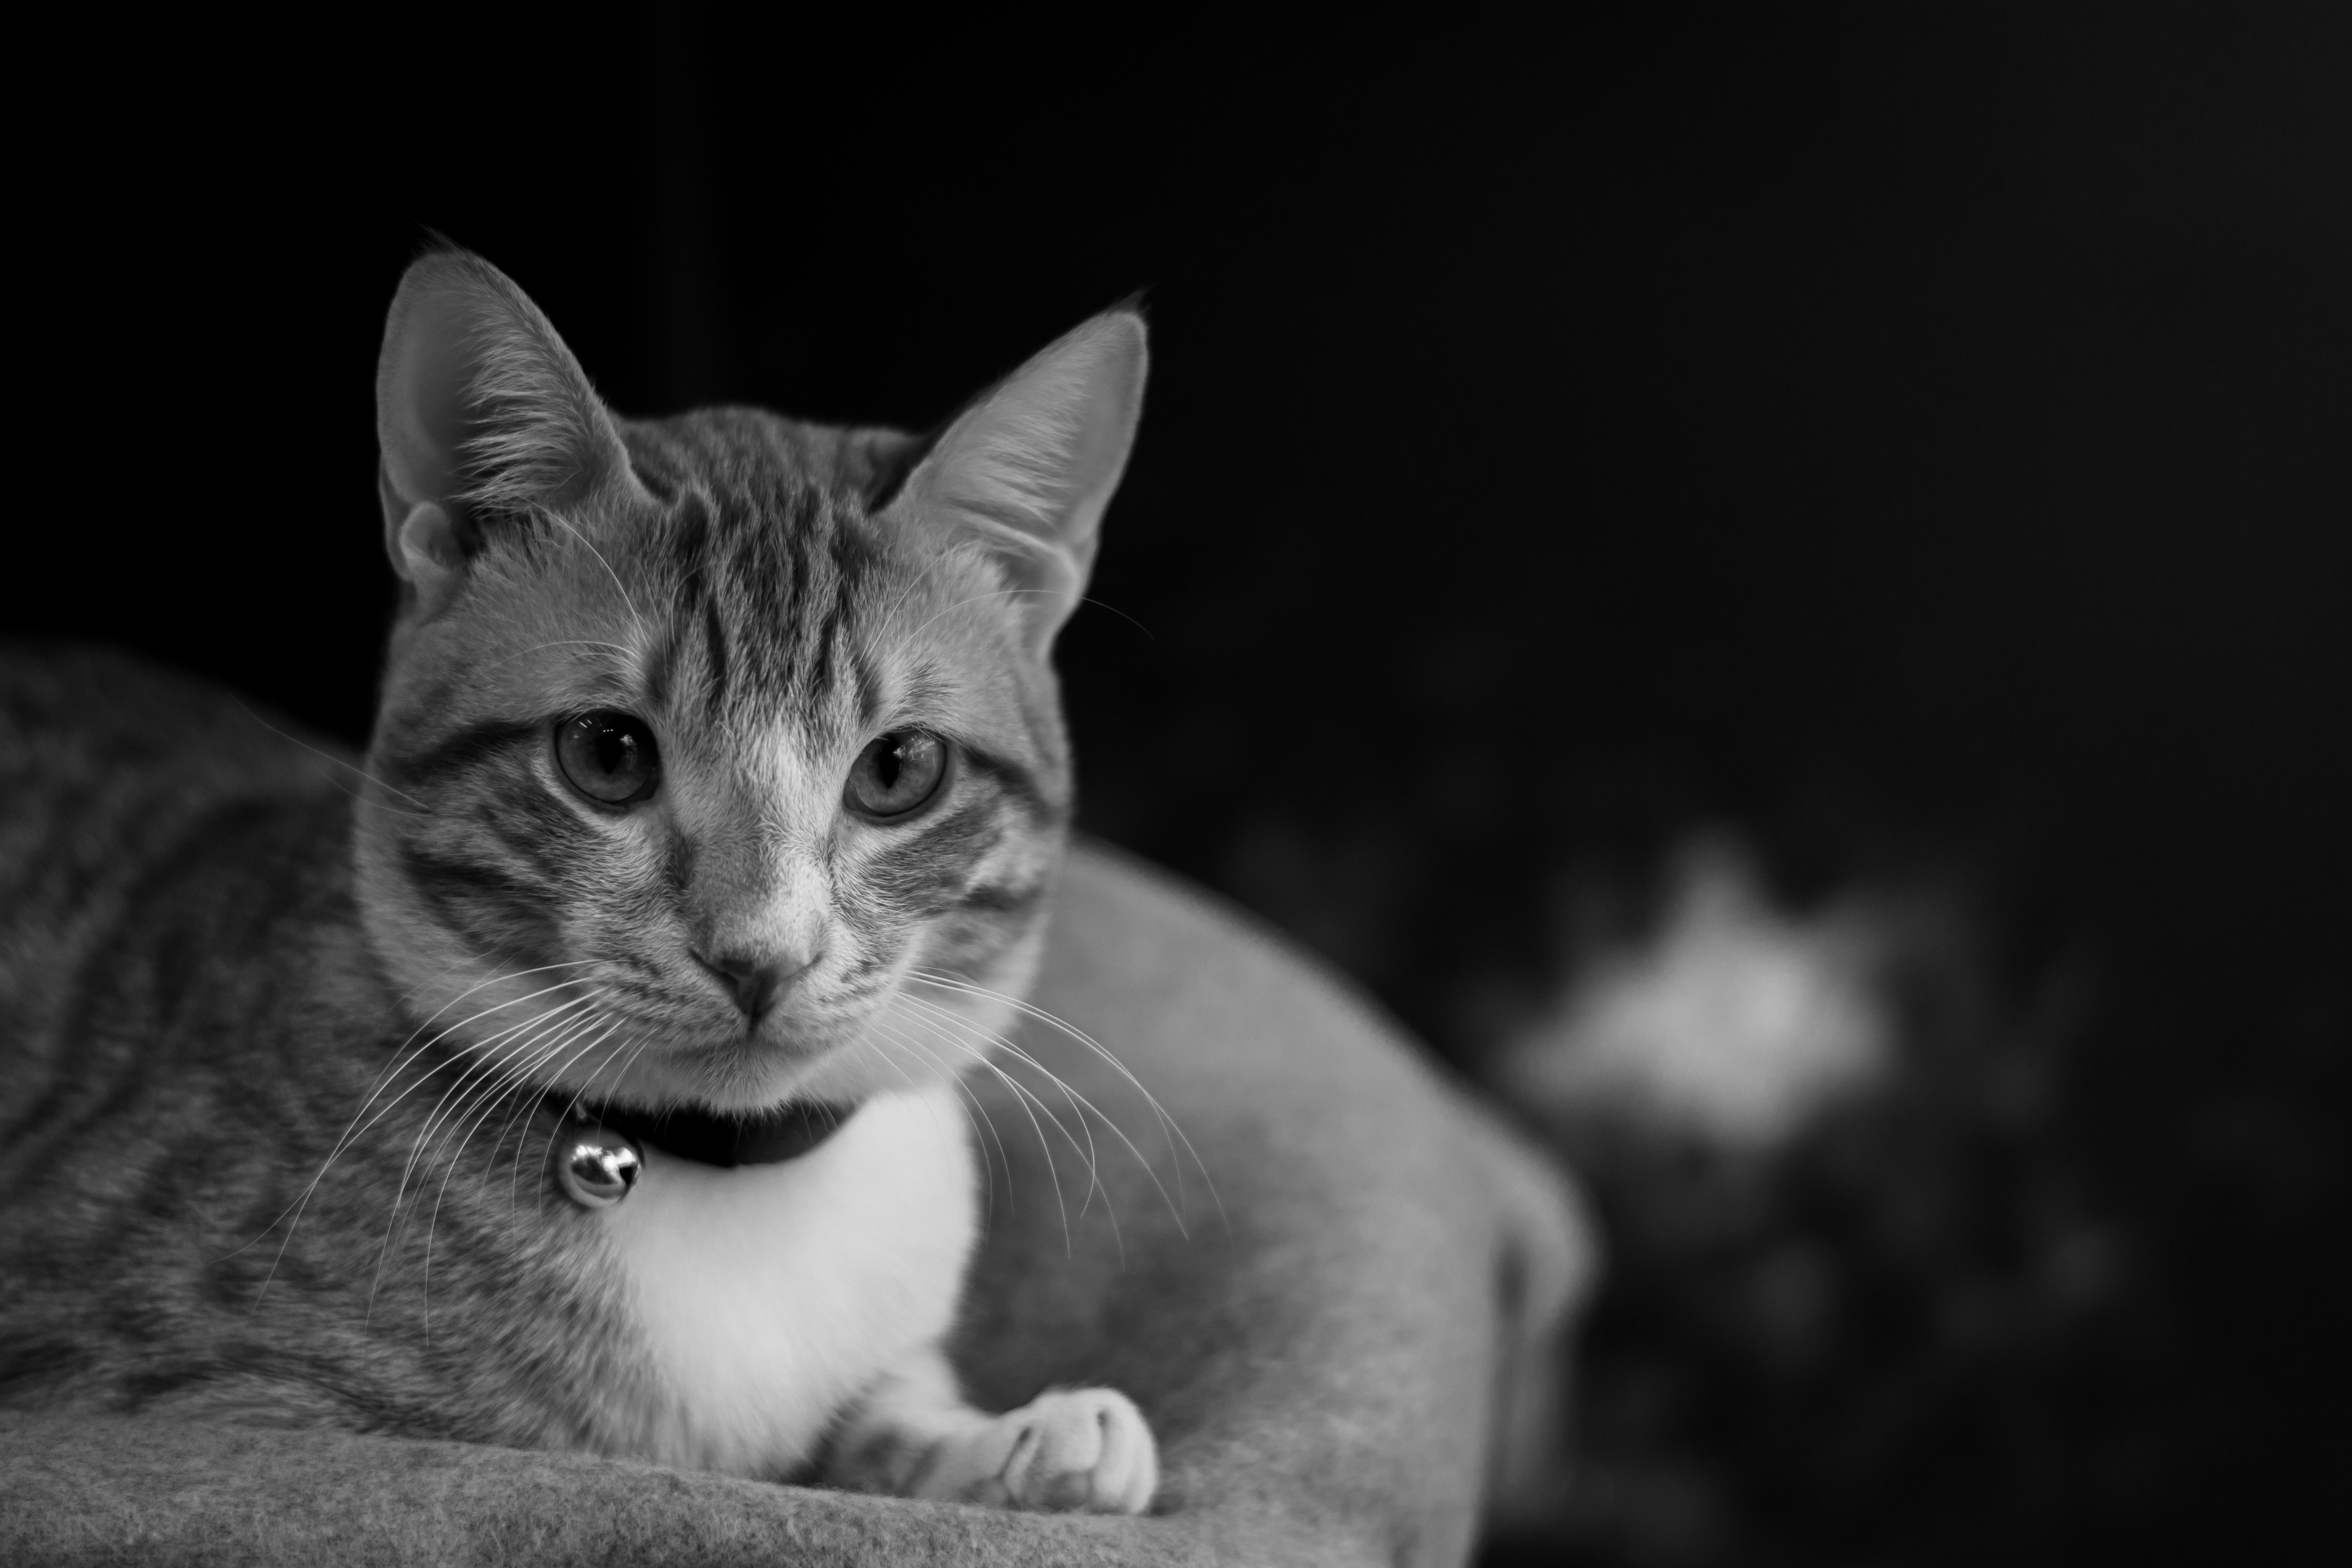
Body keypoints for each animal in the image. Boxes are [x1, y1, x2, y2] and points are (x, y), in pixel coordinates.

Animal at [0, 251, 1157, 1514]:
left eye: (899, 770)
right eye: (608, 755)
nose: (762, 957)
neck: (730, 1197)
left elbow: (890, 1411)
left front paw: (1013, 1443)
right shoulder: (176, 1404)